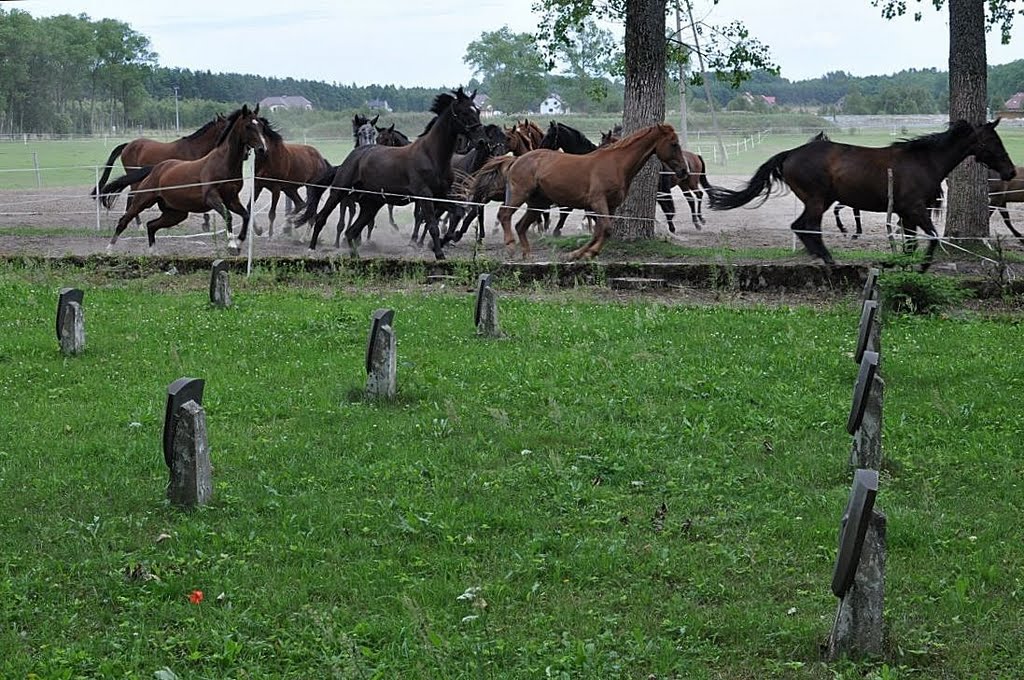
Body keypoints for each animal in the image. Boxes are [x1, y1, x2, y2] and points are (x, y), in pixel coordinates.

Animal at [103, 104, 268, 253]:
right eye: (248, 126)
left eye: (260, 126)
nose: (262, 149)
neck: (223, 163)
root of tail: (156, 168)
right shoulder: (212, 197)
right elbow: (228, 215)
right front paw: (230, 243)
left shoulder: (231, 199)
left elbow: (246, 214)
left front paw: (243, 238)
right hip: (144, 199)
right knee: (125, 218)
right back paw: (111, 248)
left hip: (176, 213)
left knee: (152, 225)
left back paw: (152, 251)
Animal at [292, 86, 483, 259]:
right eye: (464, 112)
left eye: (478, 110)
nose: (480, 139)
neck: (431, 155)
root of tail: (354, 155)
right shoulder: (424, 195)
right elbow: (432, 225)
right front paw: (439, 253)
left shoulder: (442, 195)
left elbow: (456, 213)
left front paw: (449, 238)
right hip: (340, 192)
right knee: (322, 218)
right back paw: (311, 248)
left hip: (371, 203)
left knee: (352, 231)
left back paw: (355, 256)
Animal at [495, 122, 688, 260]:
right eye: (674, 144)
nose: (684, 171)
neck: (617, 164)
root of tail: (517, 160)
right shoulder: (598, 202)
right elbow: (605, 229)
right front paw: (588, 253)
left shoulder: (610, 206)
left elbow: (600, 231)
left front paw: (578, 254)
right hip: (520, 195)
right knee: (504, 214)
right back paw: (510, 247)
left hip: (538, 203)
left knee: (520, 225)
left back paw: (527, 254)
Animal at [704, 119, 1015, 270]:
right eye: (992, 141)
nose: (1010, 171)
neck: (924, 161)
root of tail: (790, 153)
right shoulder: (914, 209)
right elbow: (932, 238)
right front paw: (922, 268)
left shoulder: (906, 213)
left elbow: (911, 244)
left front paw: (903, 265)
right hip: (817, 200)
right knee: (807, 226)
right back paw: (828, 260)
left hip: (821, 200)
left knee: (800, 227)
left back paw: (819, 256)